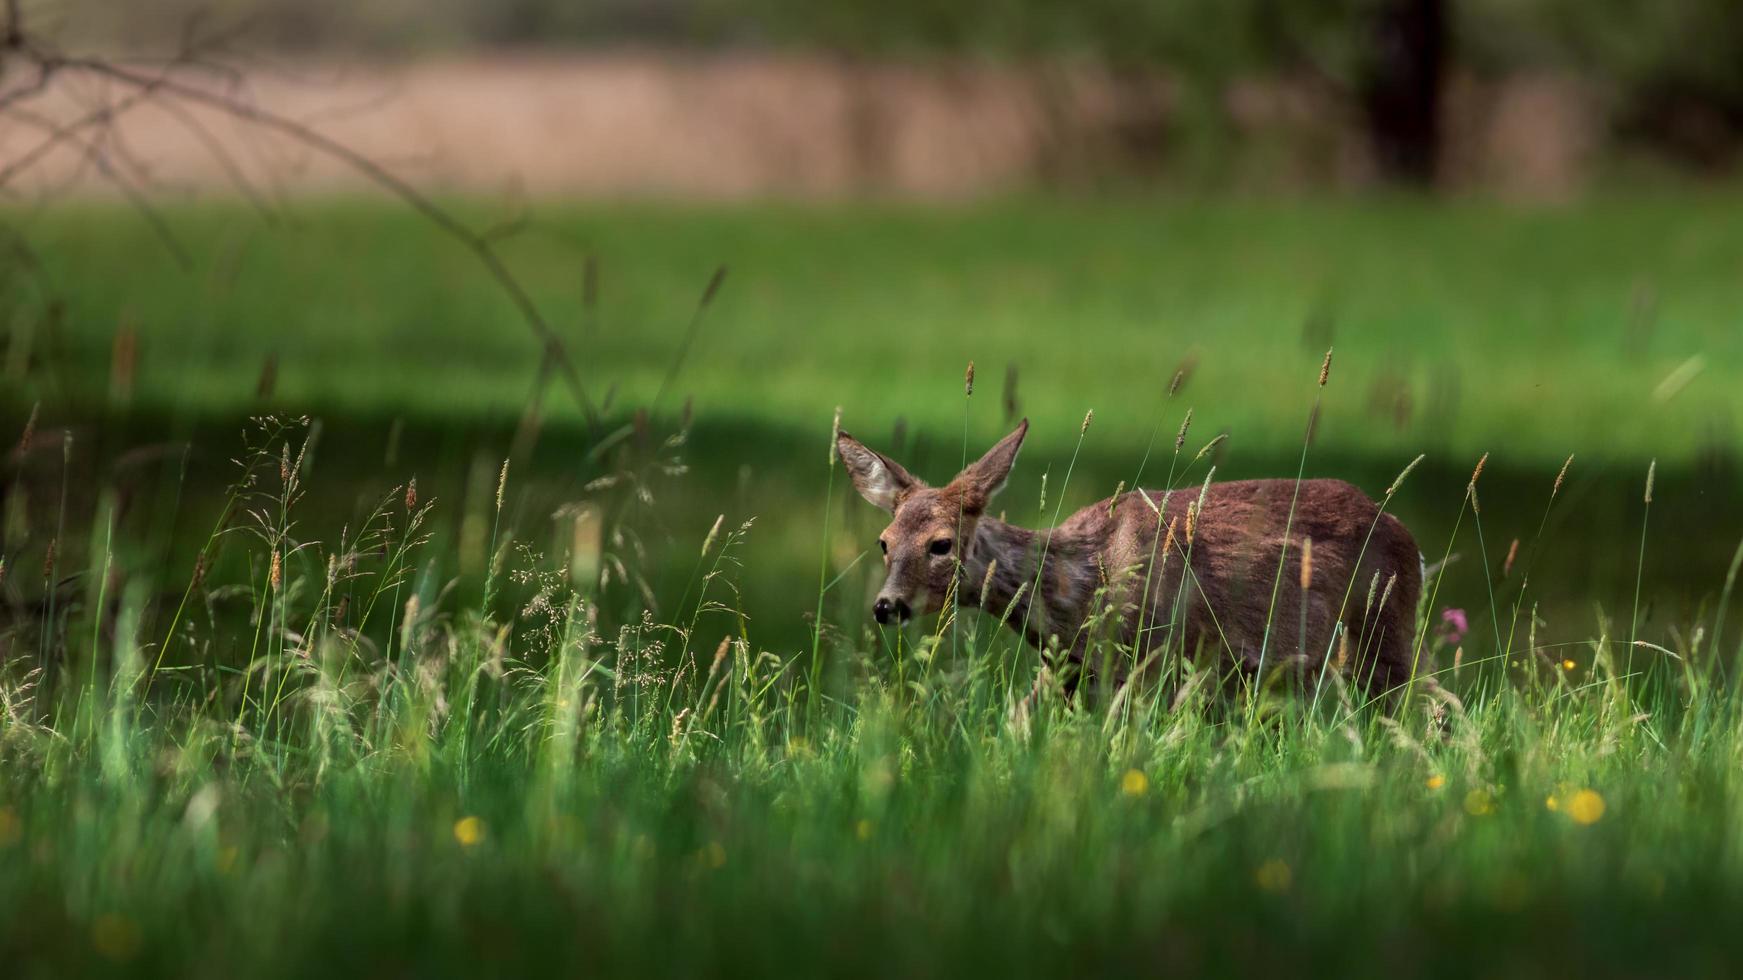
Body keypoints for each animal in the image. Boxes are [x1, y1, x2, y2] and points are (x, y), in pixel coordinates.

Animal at [836, 418, 1422, 700]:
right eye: (884, 541)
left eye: (941, 543)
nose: (886, 606)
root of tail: (1404, 532)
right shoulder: (1070, 671)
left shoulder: (1154, 656)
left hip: (1381, 636)